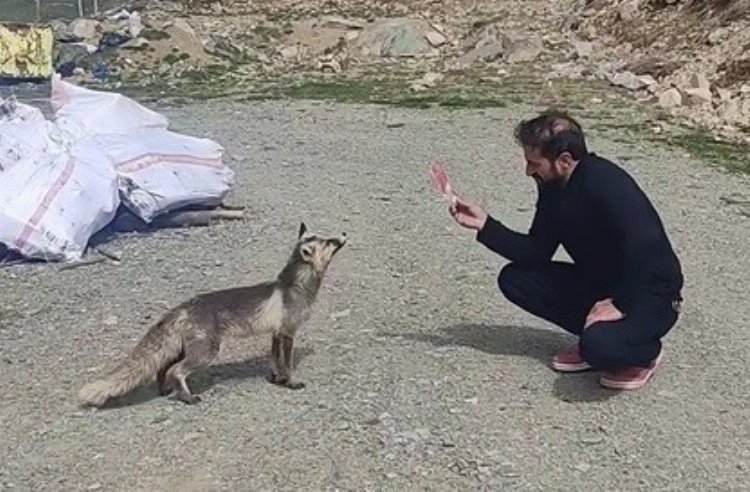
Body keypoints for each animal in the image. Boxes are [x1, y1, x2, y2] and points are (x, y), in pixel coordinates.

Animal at [78, 223, 348, 408]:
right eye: (329, 242)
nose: (344, 234)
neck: (294, 287)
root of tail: (182, 306)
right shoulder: (288, 331)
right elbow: (287, 363)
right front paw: (290, 382)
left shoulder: (275, 333)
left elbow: (274, 360)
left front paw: (275, 379)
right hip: (206, 352)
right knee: (176, 371)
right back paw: (187, 397)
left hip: (182, 349)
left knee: (163, 367)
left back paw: (166, 391)